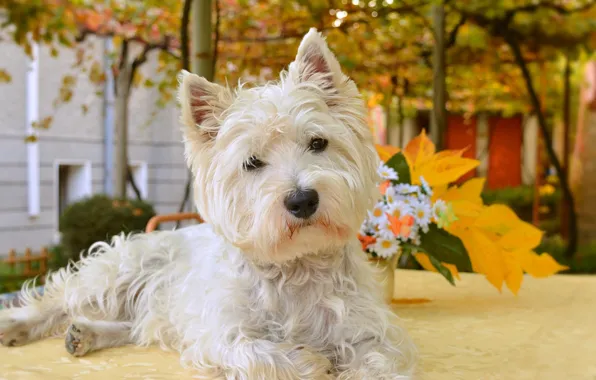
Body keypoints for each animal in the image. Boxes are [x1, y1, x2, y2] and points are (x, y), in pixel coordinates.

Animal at [0, 30, 416, 380]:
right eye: (252, 162)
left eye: (318, 143)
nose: (302, 200)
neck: (297, 267)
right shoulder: (222, 332)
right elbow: (265, 353)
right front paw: (315, 361)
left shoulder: (371, 332)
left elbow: (378, 361)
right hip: (118, 271)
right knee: (60, 297)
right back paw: (18, 325)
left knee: (135, 325)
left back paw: (84, 333)